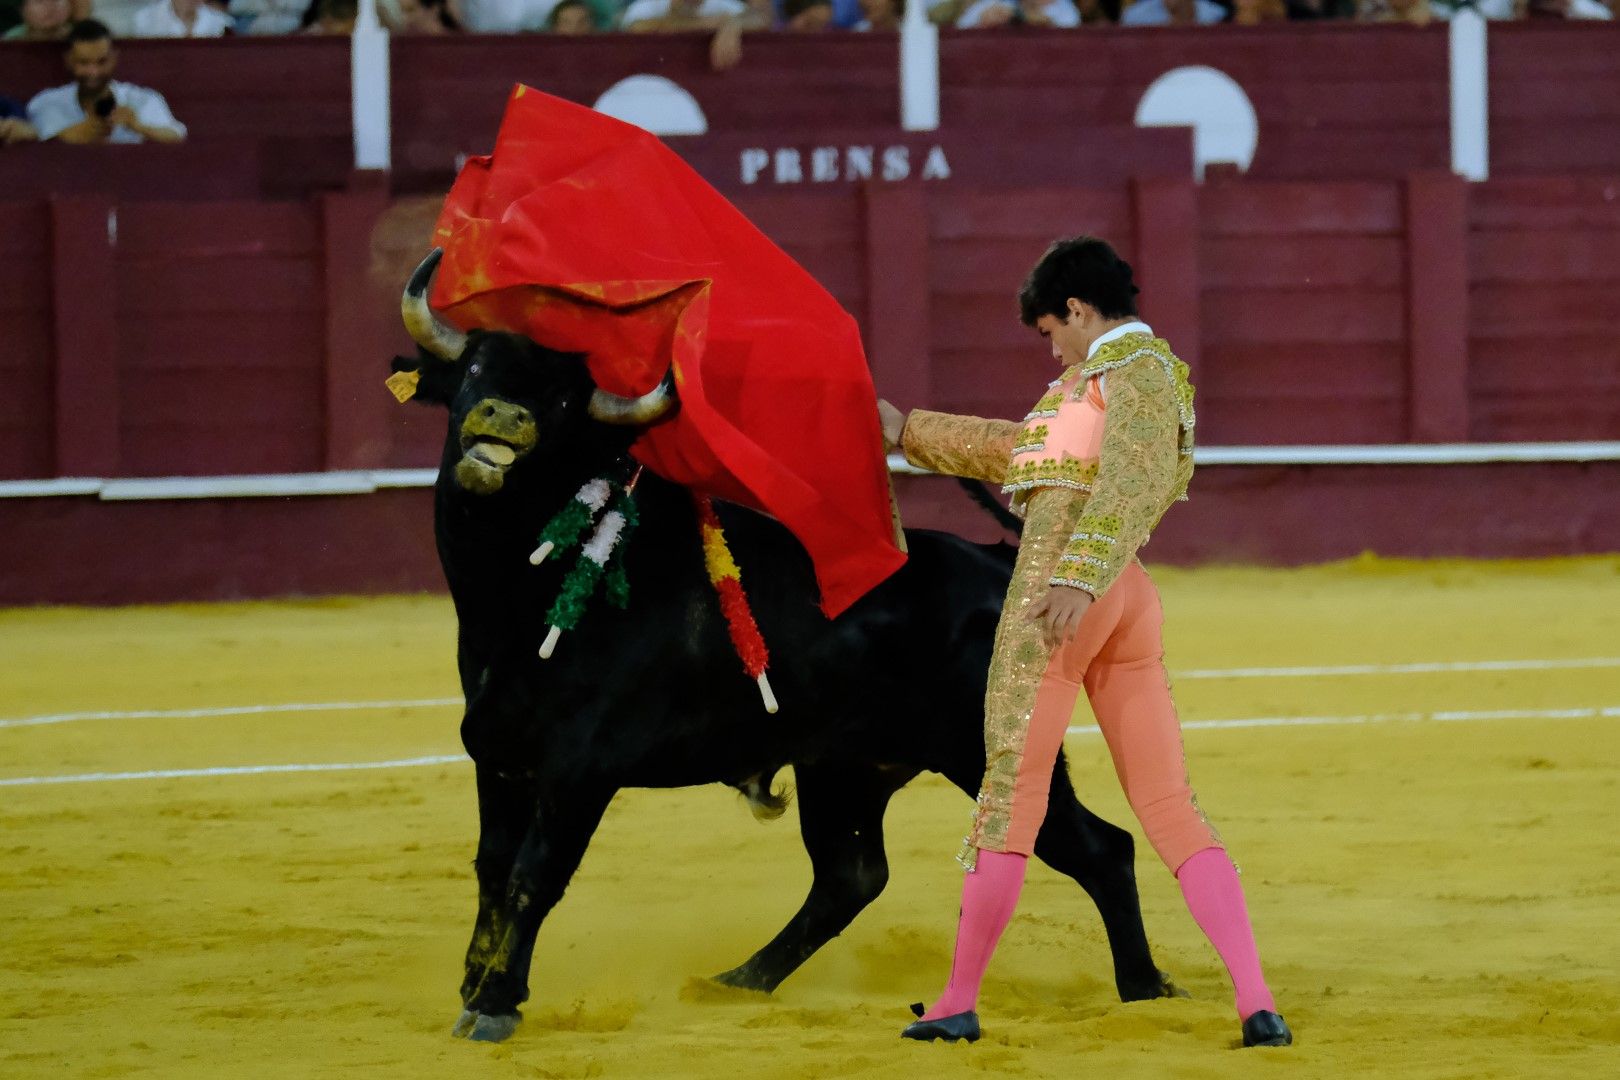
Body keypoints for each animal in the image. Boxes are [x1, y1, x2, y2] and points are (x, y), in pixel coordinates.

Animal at [392, 325, 1179, 1042]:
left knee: (1099, 847)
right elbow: (493, 868)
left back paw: (1144, 987)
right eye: (473, 369)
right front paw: (476, 982)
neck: (513, 601)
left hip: (988, 748)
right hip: (843, 769)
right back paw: (735, 981)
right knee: (850, 876)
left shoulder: (581, 769)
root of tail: (1001, 567)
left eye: (559, 398)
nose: (500, 416)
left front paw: (494, 1004)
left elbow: (534, 873)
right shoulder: (499, 757)